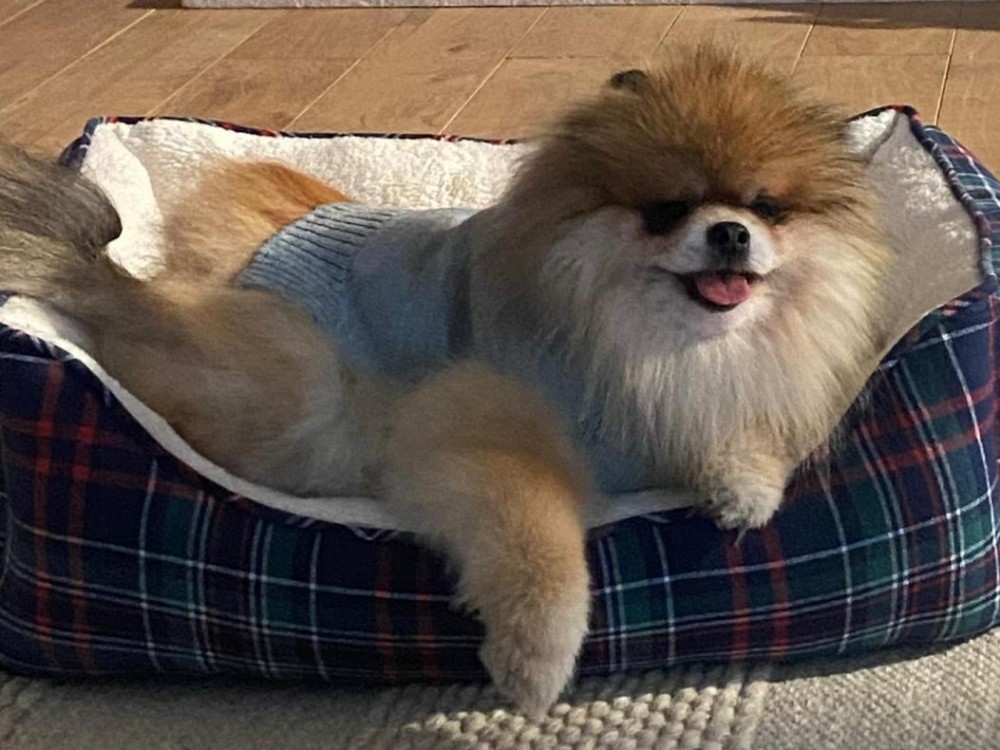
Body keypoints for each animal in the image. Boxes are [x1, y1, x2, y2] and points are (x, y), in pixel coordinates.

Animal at [0, 47, 890, 715]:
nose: (732, 233)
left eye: (768, 208)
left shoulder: (681, 403)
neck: (644, 340)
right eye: (668, 210)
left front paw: (745, 484)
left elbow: (732, 439)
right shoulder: (476, 420)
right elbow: (538, 540)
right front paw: (534, 663)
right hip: (302, 395)